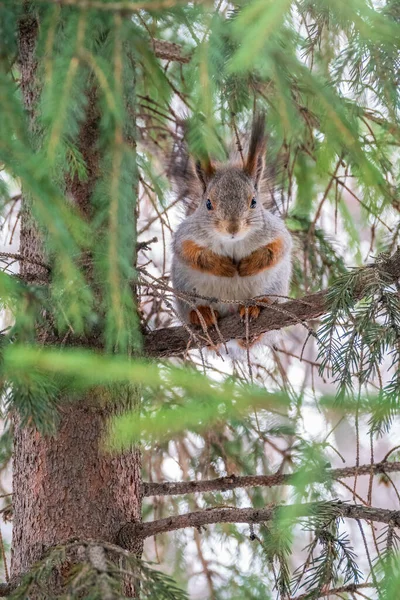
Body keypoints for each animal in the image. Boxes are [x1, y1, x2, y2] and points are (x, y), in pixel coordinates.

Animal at [170, 115, 292, 336]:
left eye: (254, 202)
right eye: (208, 203)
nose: (232, 229)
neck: (233, 242)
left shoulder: (276, 230)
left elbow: (278, 247)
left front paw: (248, 265)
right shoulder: (186, 234)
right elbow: (189, 252)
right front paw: (223, 266)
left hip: (275, 284)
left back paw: (255, 306)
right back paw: (203, 314)